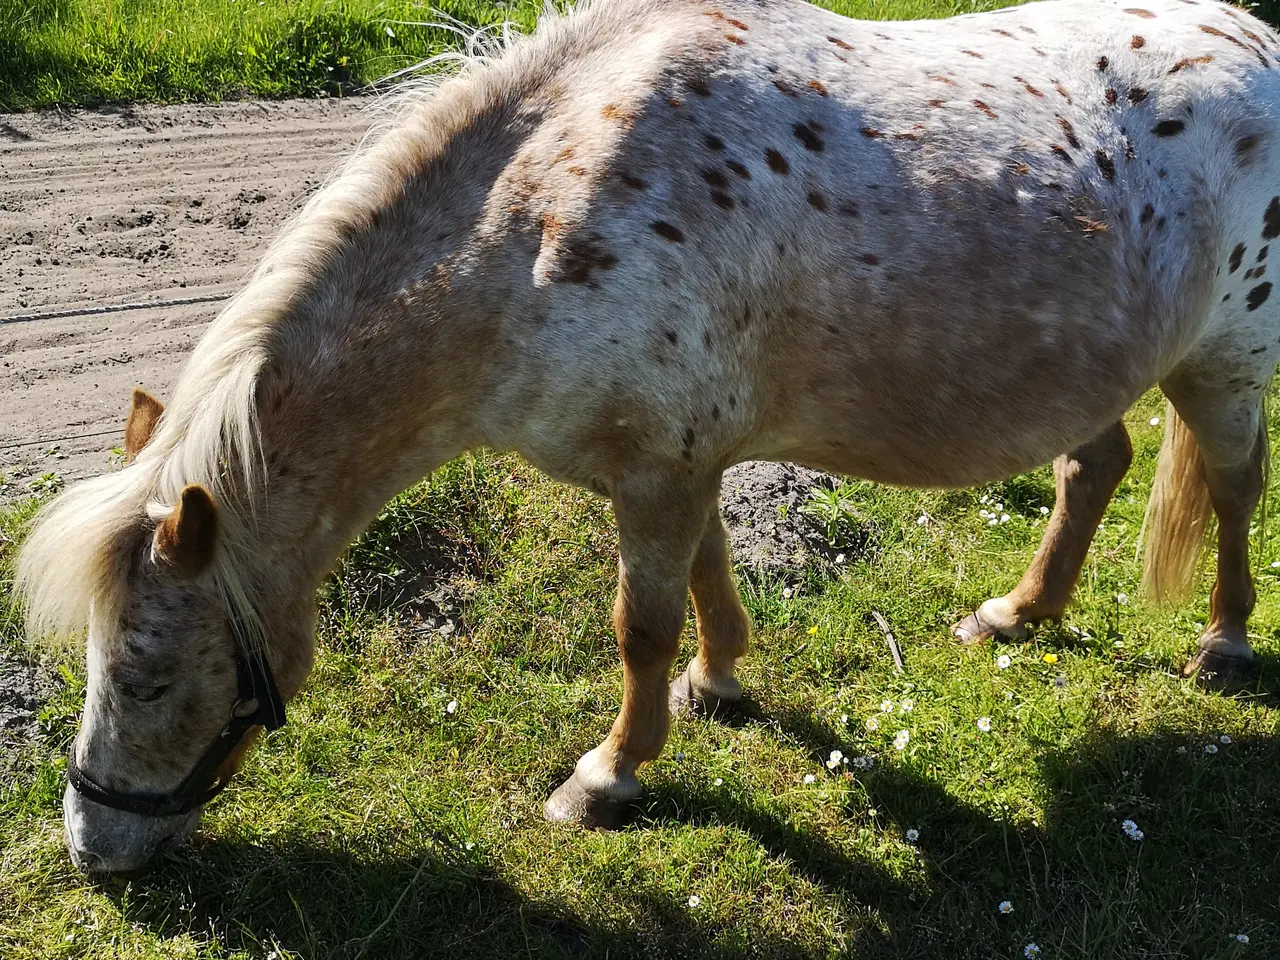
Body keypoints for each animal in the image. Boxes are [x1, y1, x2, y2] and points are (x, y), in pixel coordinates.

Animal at [17, 0, 1280, 873]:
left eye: (145, 672)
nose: (92, 850)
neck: (537, 219)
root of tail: (1250, 33)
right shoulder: (680, 462)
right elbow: (708, 579)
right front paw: (717, 686)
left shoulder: (658, 469)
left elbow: (639, 628)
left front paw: (610, 777)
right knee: (1093, 466)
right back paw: (1019, 613)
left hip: (1221, 361)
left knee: (1230, 488)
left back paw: (1221, 642)